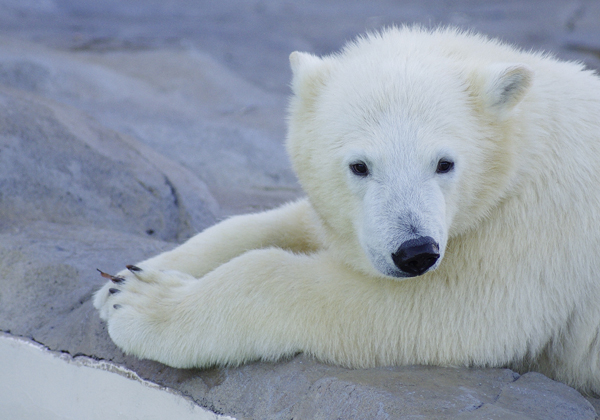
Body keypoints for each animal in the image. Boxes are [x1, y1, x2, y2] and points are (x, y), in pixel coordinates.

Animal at [92, 26, 600, 394]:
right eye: (360, 165)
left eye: (444, 163)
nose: (415, 252)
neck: (524, 149)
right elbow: (287, 222)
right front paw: (122, 279)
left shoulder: (533, 228)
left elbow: (445, 308)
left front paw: (142, 303)